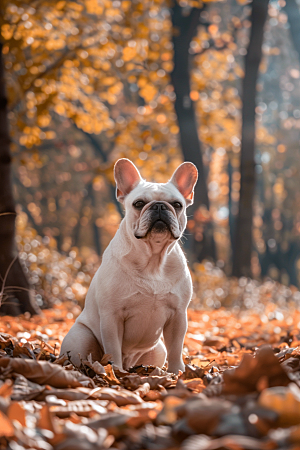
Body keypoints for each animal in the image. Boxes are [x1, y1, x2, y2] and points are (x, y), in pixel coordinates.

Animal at [60, 158, 198, 372]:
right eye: (138, 203)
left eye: (177, 205)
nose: (159, 206)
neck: (153, 259)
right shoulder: (112, 316)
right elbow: (113, 348)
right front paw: (115, 371)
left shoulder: (178, 316)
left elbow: (176, 348)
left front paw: (177, 373)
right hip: (80, 338)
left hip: (158, 350)